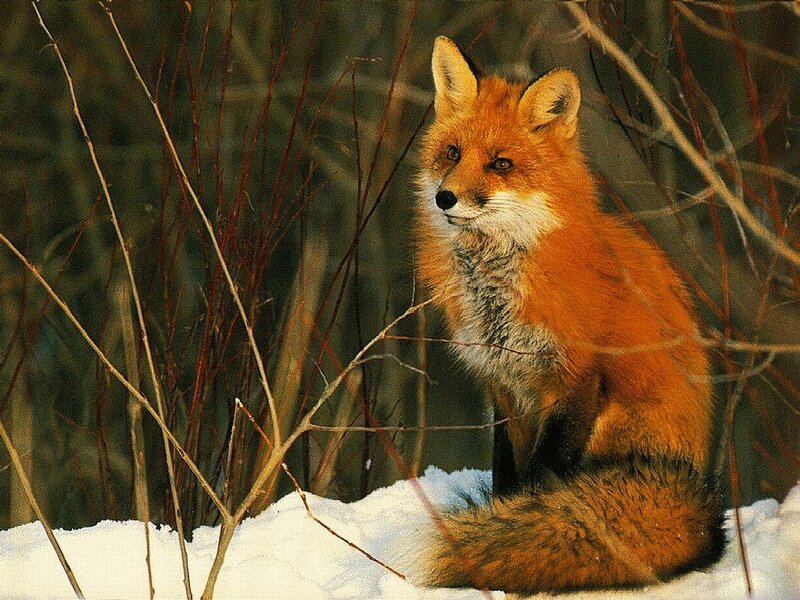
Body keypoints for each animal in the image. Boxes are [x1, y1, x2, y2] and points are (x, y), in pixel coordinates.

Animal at [405, 36, 726, 594]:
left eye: (501, 164)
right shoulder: (504, 386)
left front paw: (511, 536)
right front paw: (501, 522)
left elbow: (540, 479)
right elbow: (508, 477)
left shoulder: (575, 379)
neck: (497, 287)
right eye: (452, 153)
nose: (445, 197)